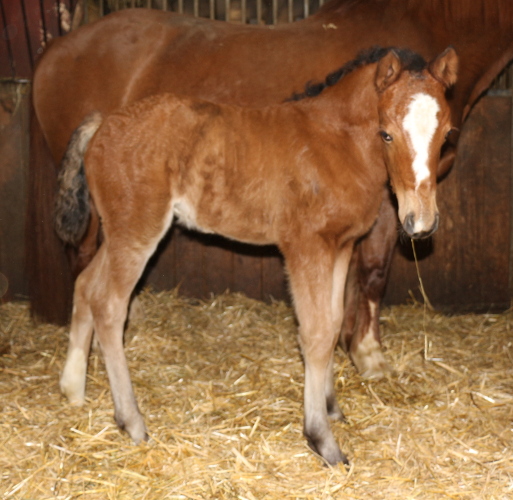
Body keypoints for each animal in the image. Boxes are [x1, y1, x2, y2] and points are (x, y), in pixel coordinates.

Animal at [29, 0, 512, 378]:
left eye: (446, 134)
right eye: (387, 135)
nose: (426, 224)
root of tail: (54, 49)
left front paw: (348, 346)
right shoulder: (391, 202)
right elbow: (374, 270)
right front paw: (368, 355)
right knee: (87, 265)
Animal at [54, 47, 458, 464]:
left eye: (447, 135)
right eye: (387, 132)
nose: (421, 222)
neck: (334, 142)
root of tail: (103, 122)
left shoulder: (341, 246)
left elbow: (331, 325)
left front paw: (331, 406)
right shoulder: (306, 246)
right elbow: (315, 333)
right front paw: (322, 438)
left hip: (118, 232)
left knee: (86, 285)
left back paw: (73, 390)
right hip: (138, 231)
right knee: (109, 305)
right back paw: (131, 421)